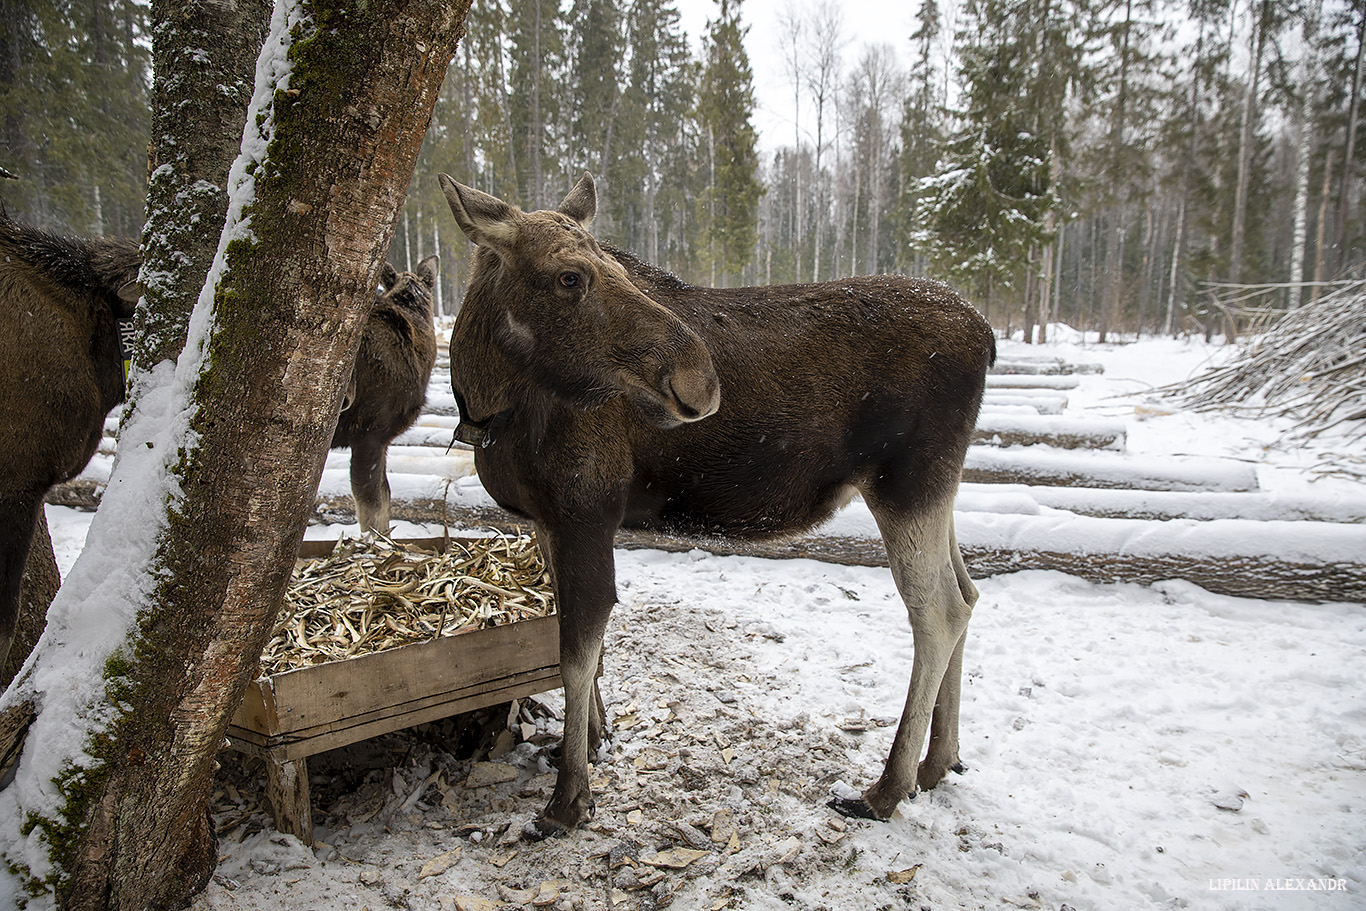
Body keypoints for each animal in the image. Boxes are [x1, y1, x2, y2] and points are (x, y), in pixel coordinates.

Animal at [442, 172, 999, 841]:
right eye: (569, 276)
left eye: (614, 265)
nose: (700, 380)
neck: (488, 405)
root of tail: (989, 338)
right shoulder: (547, 520)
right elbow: (579, 646)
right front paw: (595, 740)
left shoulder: (587, 509)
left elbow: (577, 651)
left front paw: (570, 799)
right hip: (934, 489)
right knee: (969, 593)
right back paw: (939, 761)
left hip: (905, 483)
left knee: (938, 610)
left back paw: (887, 788)